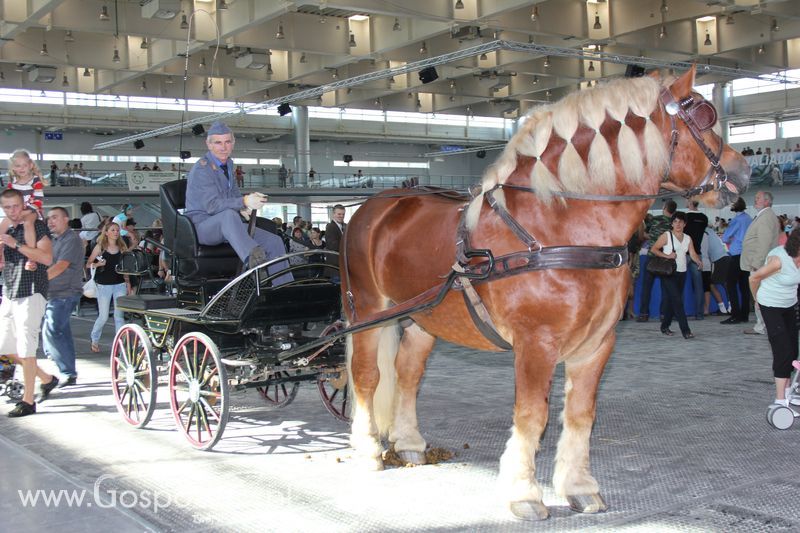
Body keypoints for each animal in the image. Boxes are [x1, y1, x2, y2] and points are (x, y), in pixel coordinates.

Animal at [342, 66, 752, 520]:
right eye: (705, 118)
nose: (743, 171)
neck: (557, 226)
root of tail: (371, 208)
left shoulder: (598, 343)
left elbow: (580, 413)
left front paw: (579, 486)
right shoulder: (535, 342)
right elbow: (532, 413)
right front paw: (523, 492)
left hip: (422, 317)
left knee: (408, 374)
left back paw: (410, 443)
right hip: (367, 310)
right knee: (367, 375)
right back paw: (368, 449)